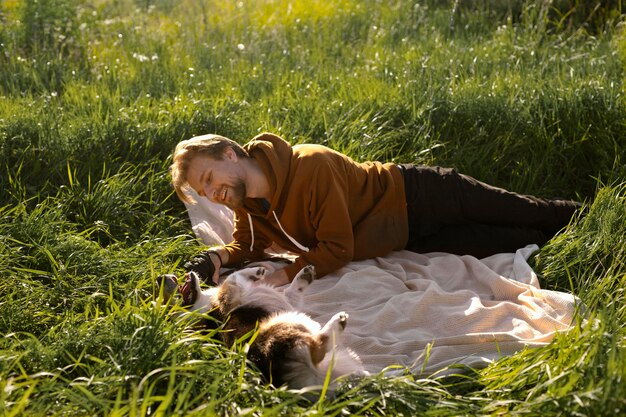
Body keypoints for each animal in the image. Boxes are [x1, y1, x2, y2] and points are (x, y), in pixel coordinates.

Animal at [155, 264, 366, 388]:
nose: (159, 278)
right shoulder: (228, 299)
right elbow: (232, 277)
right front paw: (255, 271)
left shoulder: (289, 301)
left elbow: (293, 290)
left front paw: (304, 274)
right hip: (284, 325)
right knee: (319, 346)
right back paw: (338, 321)